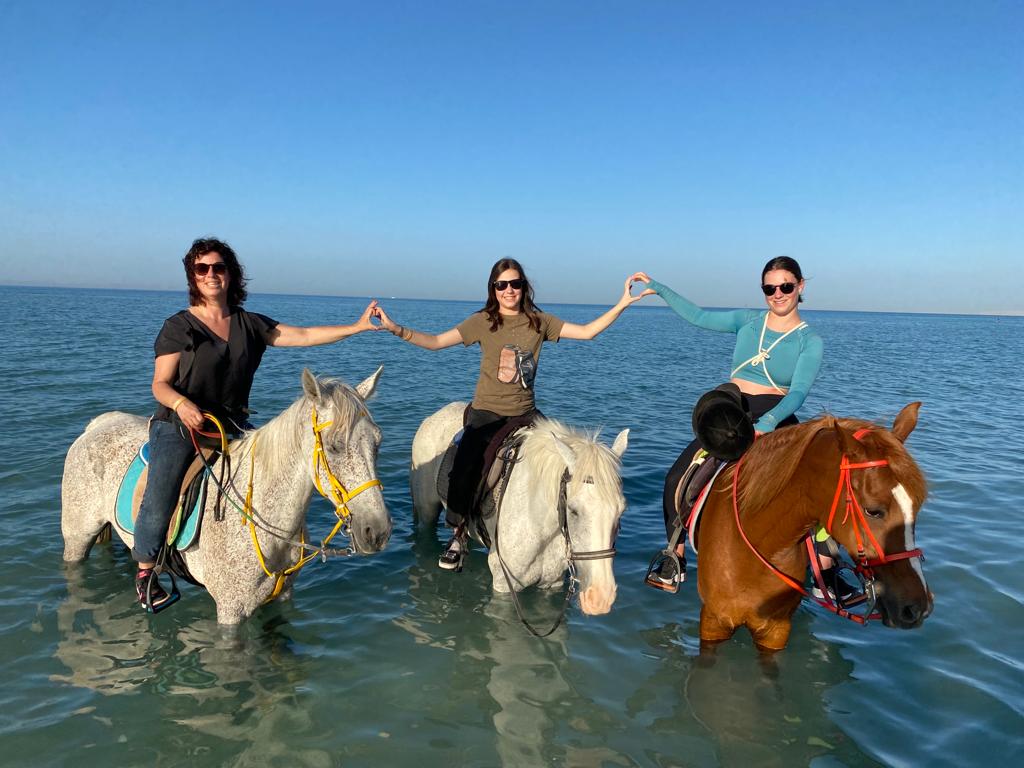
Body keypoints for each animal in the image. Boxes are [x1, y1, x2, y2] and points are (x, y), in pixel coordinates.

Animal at [61, 368, 391, 626]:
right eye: (334, 446)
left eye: (377, 442)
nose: (377, 531)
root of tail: (96, 424)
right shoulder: (231, 612)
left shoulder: (283, 597)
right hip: (77, 538)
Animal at [410, 402, 629, 620]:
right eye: (573, 510)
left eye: (621, 511)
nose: (600, 598)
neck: (539, 523)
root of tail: (432, 417)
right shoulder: (504, 585)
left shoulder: (553, 583)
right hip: (427, 511)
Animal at [694, 402, 931, 652]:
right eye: (873, 511)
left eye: (916, 506)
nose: (916, 607)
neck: (758, 542)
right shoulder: (714, 622)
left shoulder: (776, 629)